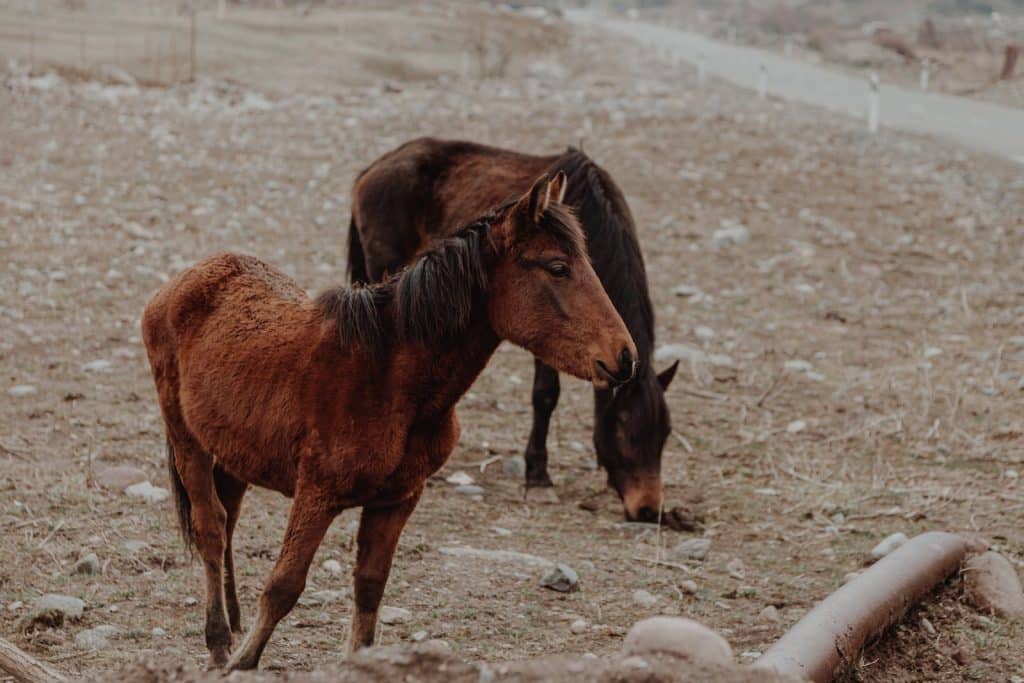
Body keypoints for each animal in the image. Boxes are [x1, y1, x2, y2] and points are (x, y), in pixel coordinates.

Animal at [140, 172, 634, 671]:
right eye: (557, 268)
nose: (624, 356)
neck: (391, 378)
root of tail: (181, 282)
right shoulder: (316, 493)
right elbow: (284, 585)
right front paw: (241, 662)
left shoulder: (397, 501)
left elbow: (370, 587)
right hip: (186, 441)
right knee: (211, 529)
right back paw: (219, 638)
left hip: (232, 453)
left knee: (229, 521)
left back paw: (232, 619)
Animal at [350, 137, 679, 524]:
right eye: (624, 430)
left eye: (665, 435)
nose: (648, 509)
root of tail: (376, 168)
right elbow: (546, 395)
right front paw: (538, 477)